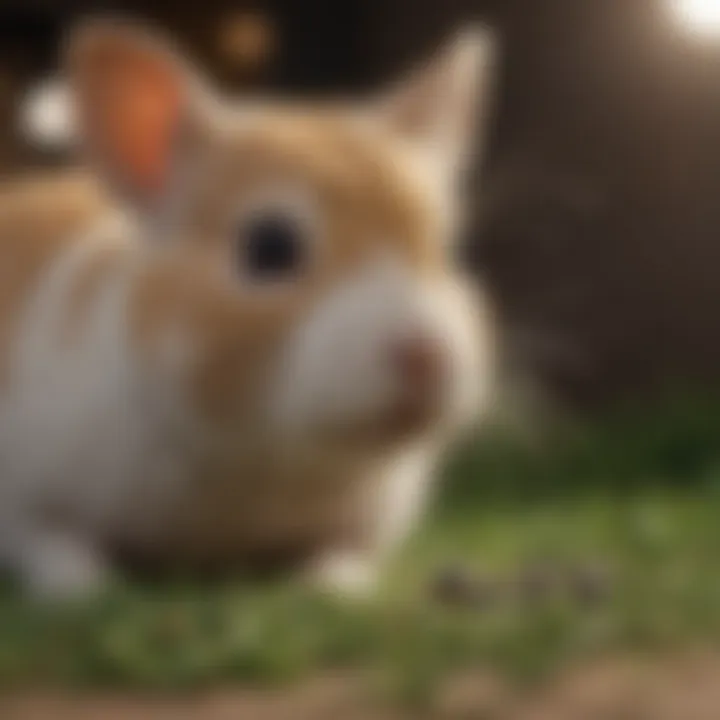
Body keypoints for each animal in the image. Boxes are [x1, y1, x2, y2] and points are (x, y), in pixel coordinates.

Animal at [0, 19, 498, 600]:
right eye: (270, 247)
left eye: (442, 249)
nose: (425, 354)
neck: (256, 449)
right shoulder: (28, 501)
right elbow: (55, 544)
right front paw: (87, 589)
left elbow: (342, 553)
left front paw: (333, 588)